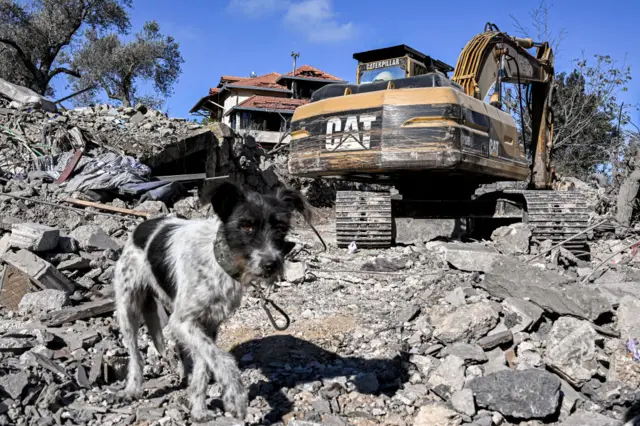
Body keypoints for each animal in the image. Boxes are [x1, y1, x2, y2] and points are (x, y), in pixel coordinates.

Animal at [114, 181, 312, 422]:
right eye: (246, 226)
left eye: (281, 228)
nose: (271, 265)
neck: (218, 261)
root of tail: (143, 225)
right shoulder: (183, 322)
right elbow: (223, 359)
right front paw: (236, 397)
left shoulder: (208, 324)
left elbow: (205, 363)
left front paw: (199, 410)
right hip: (128, 307)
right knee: (135, 354)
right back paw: (132, 389)